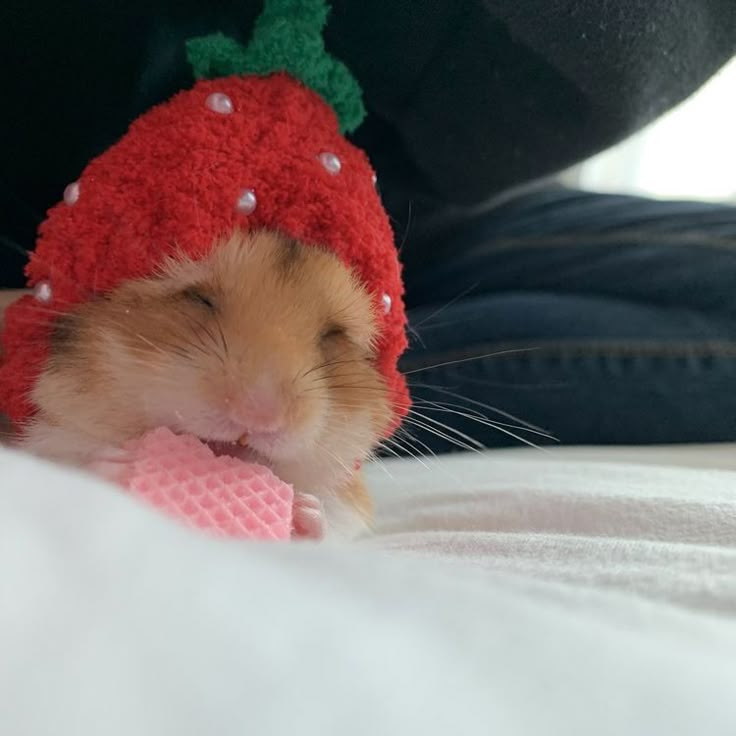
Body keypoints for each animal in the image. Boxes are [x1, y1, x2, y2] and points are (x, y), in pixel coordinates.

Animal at [20, 230, 395, 539]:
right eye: (199, 299)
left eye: (333, 335)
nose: (260, 415)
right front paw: (122, 465)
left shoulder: (352, 499)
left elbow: (335, 516)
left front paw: (303, 510)